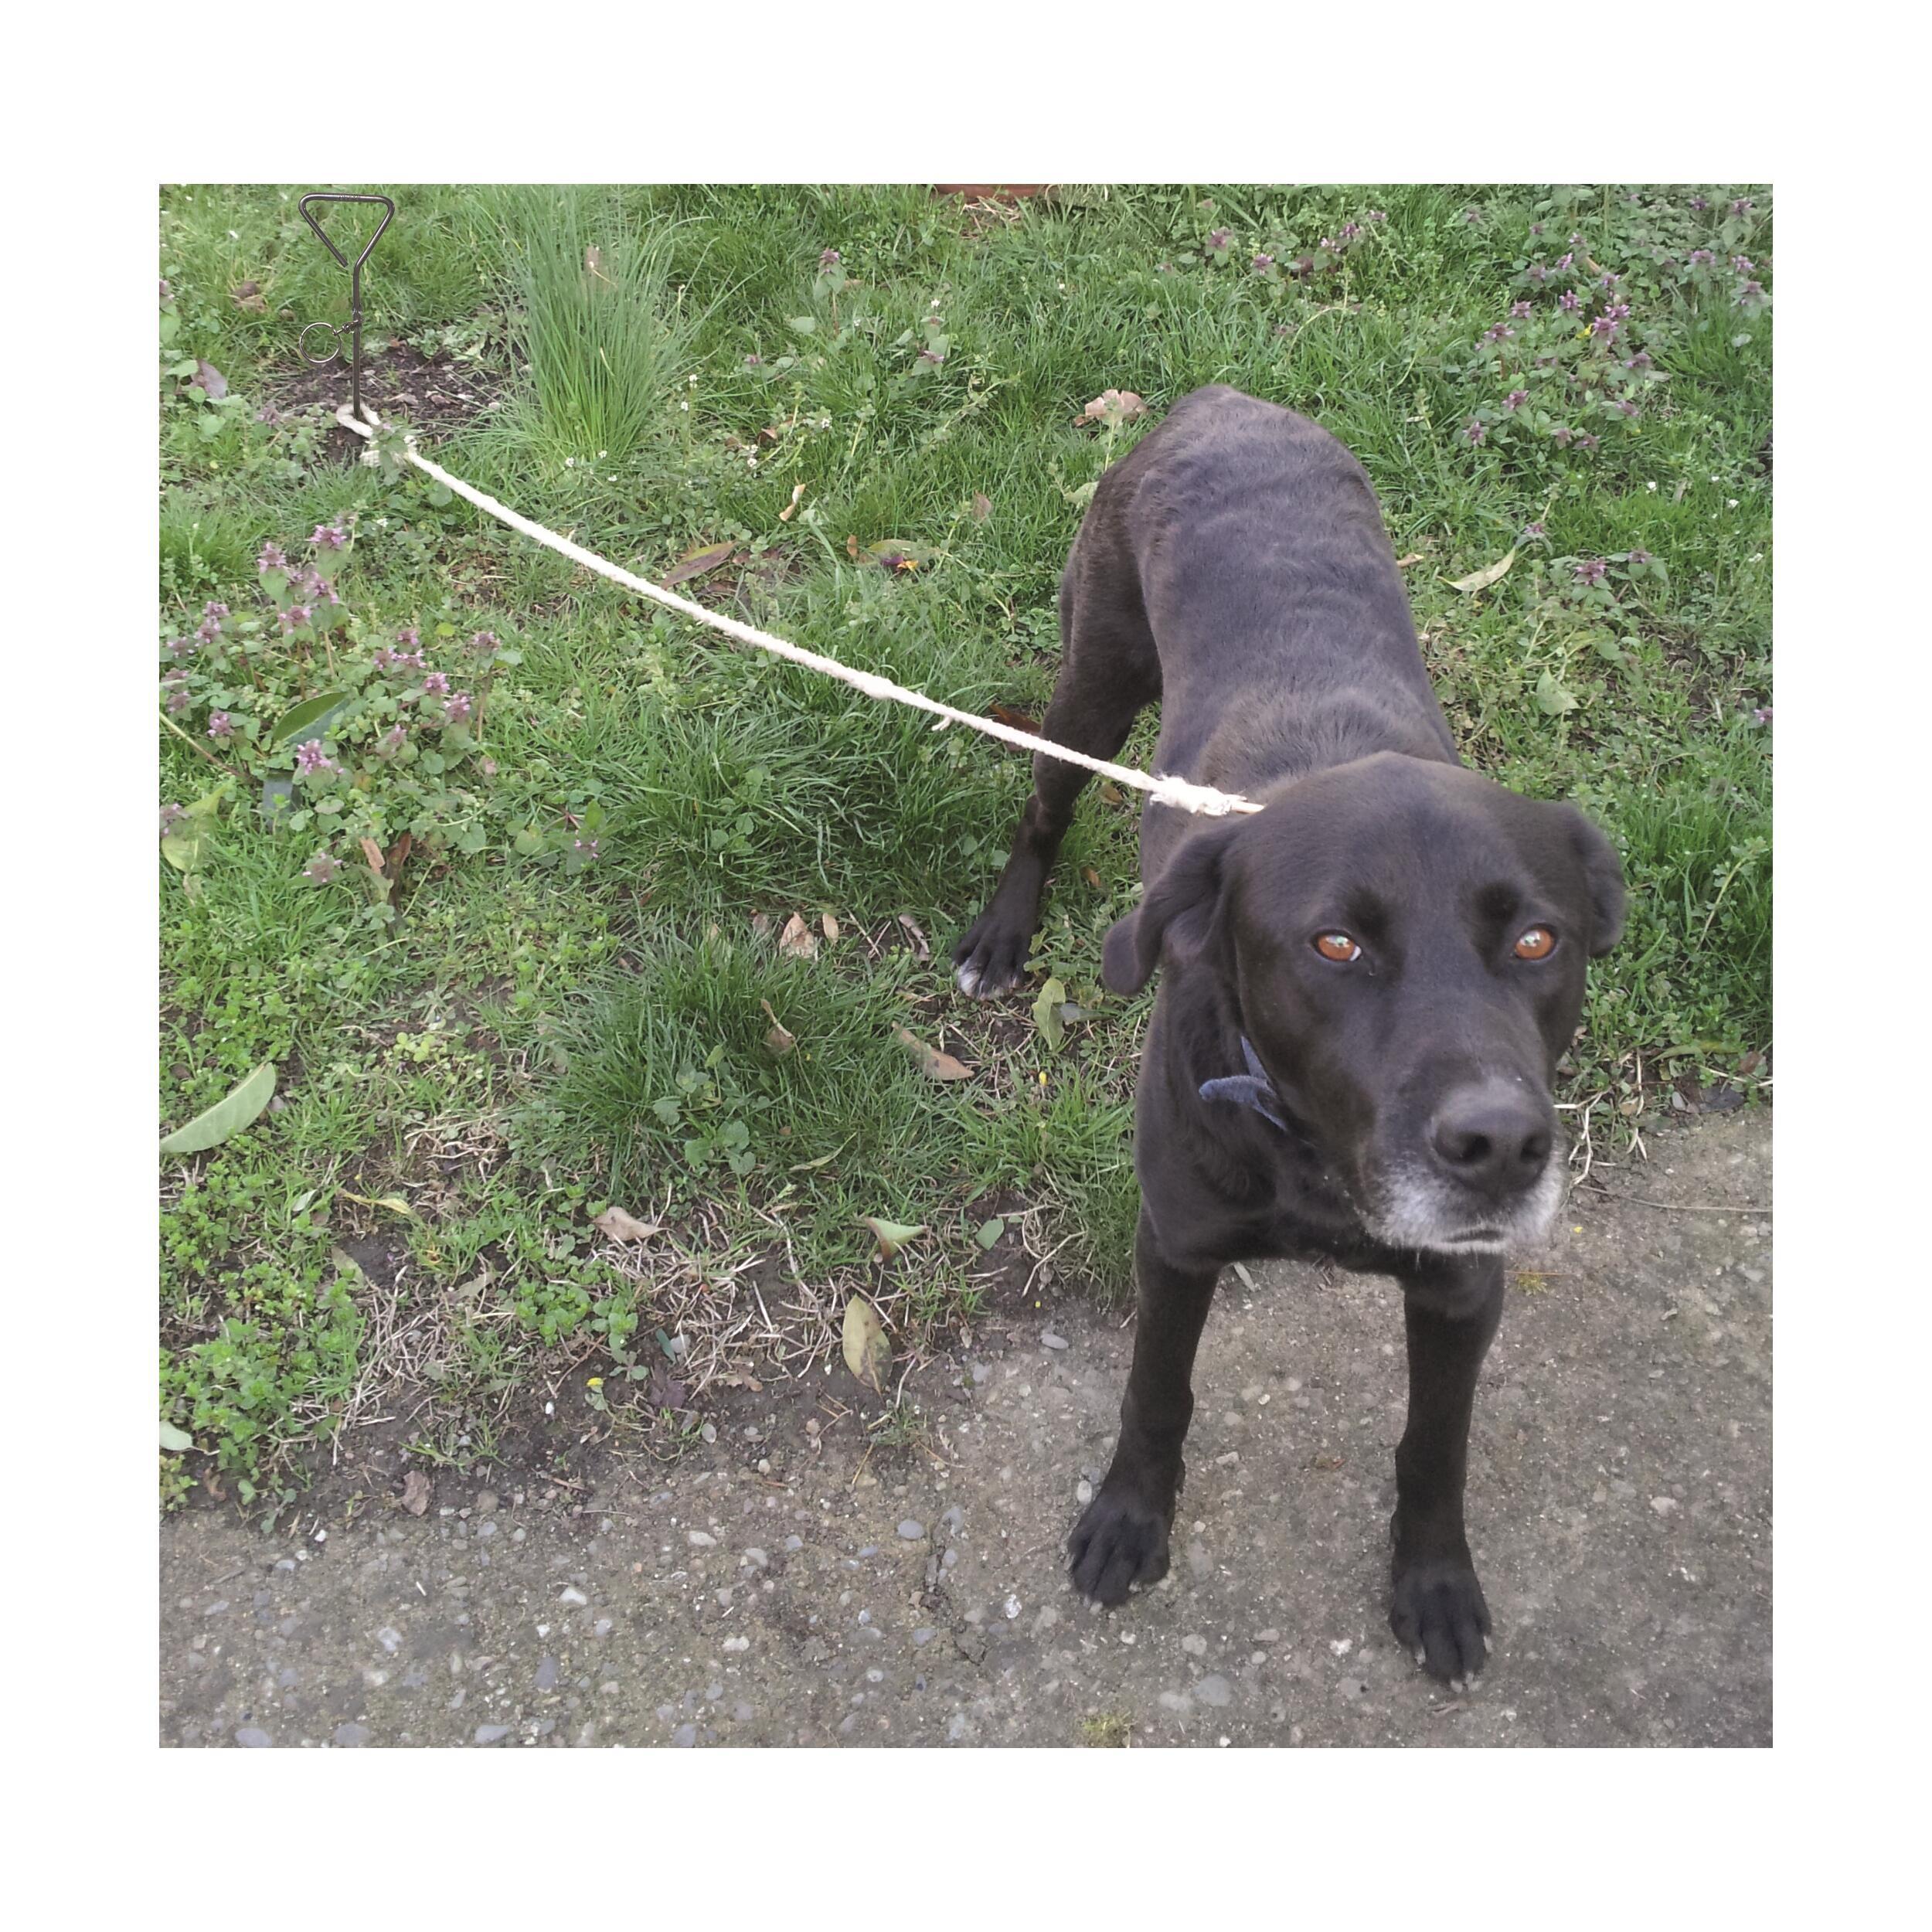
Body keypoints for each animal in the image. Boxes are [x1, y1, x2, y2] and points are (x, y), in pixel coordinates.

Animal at [953, 386, 1625, 1684]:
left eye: (1537, 941)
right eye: (1335, 946)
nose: (1500, 1149)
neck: (1315, 1155)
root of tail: (1223, 400)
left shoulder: (1462, 1292)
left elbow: (1435, 1447)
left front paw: (1435, 1583)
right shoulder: (1175, 1245)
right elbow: (1155, 1397)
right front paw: (1130, 1519)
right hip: (1096, 676)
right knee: (1044, 802)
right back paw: (1004, 930)